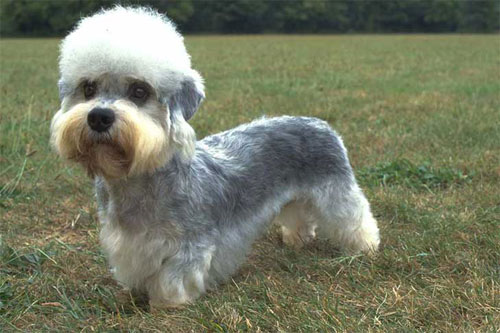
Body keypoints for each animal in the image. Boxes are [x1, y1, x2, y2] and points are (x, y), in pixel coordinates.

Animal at [49, 6, 378, 306]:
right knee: (300, 216)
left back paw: (366, 247)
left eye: (139, 91)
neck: (140, 178)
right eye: (88, 88)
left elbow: (173, 281)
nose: (99, 117)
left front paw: (167, 306)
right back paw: (296, 240)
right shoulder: (129, 245)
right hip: (296, 198)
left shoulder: (189, 247)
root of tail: (320, 123)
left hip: (337, 193)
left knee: (357, 218)